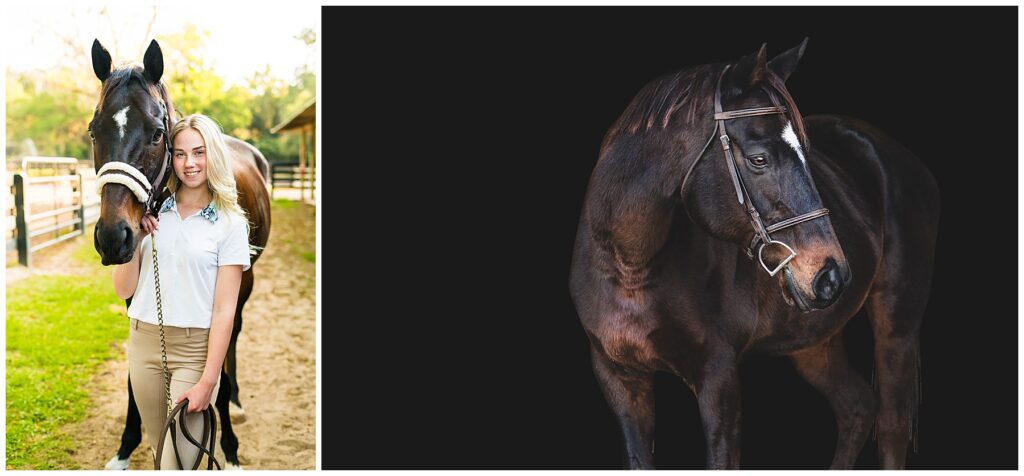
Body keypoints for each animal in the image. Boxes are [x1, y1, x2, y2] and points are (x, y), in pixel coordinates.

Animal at [89, 39, 271, 470]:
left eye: (158, 133)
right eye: (93, 131)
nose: (113, 237)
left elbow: (218, 366)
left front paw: (230, 448)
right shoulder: (134, 294)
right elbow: (133, 376)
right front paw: (125, 445)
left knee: (232, 338)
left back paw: (236, 404)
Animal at [569, 39, 939, 469]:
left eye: (807, 151)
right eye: (759, 158)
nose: (832, 275)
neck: (629, 265)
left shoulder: (718, 376)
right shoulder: (619, 379)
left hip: (897, 327)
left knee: (892, 425)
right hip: (814, 342)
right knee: (857, 406)